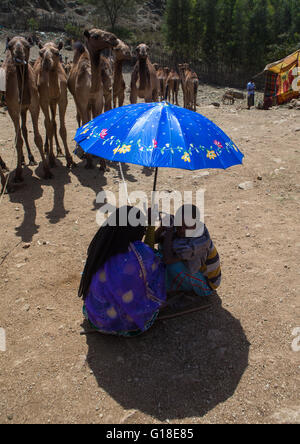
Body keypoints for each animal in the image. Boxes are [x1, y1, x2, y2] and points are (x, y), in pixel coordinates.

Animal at [3, 35, 51, 182]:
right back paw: (22, 159)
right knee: (20, 132)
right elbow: (18, 140)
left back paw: (30, 158)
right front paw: (18, 173)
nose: (18, 54)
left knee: (24, 129)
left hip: (24, 109)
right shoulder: (12, 109)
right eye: (10, 46)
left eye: (28, 45)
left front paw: (47, 170)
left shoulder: (34, 106)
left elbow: (38, 138)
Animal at [68, 28, 118, 170]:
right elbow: (85, 121)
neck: (91, 88)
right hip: (76, 100)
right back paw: (80, 148)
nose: (114, 38)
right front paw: (89, 162)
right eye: (95, 36)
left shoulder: (98, 100)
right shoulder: (82, 101)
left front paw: (102, 164)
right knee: (79, 118)